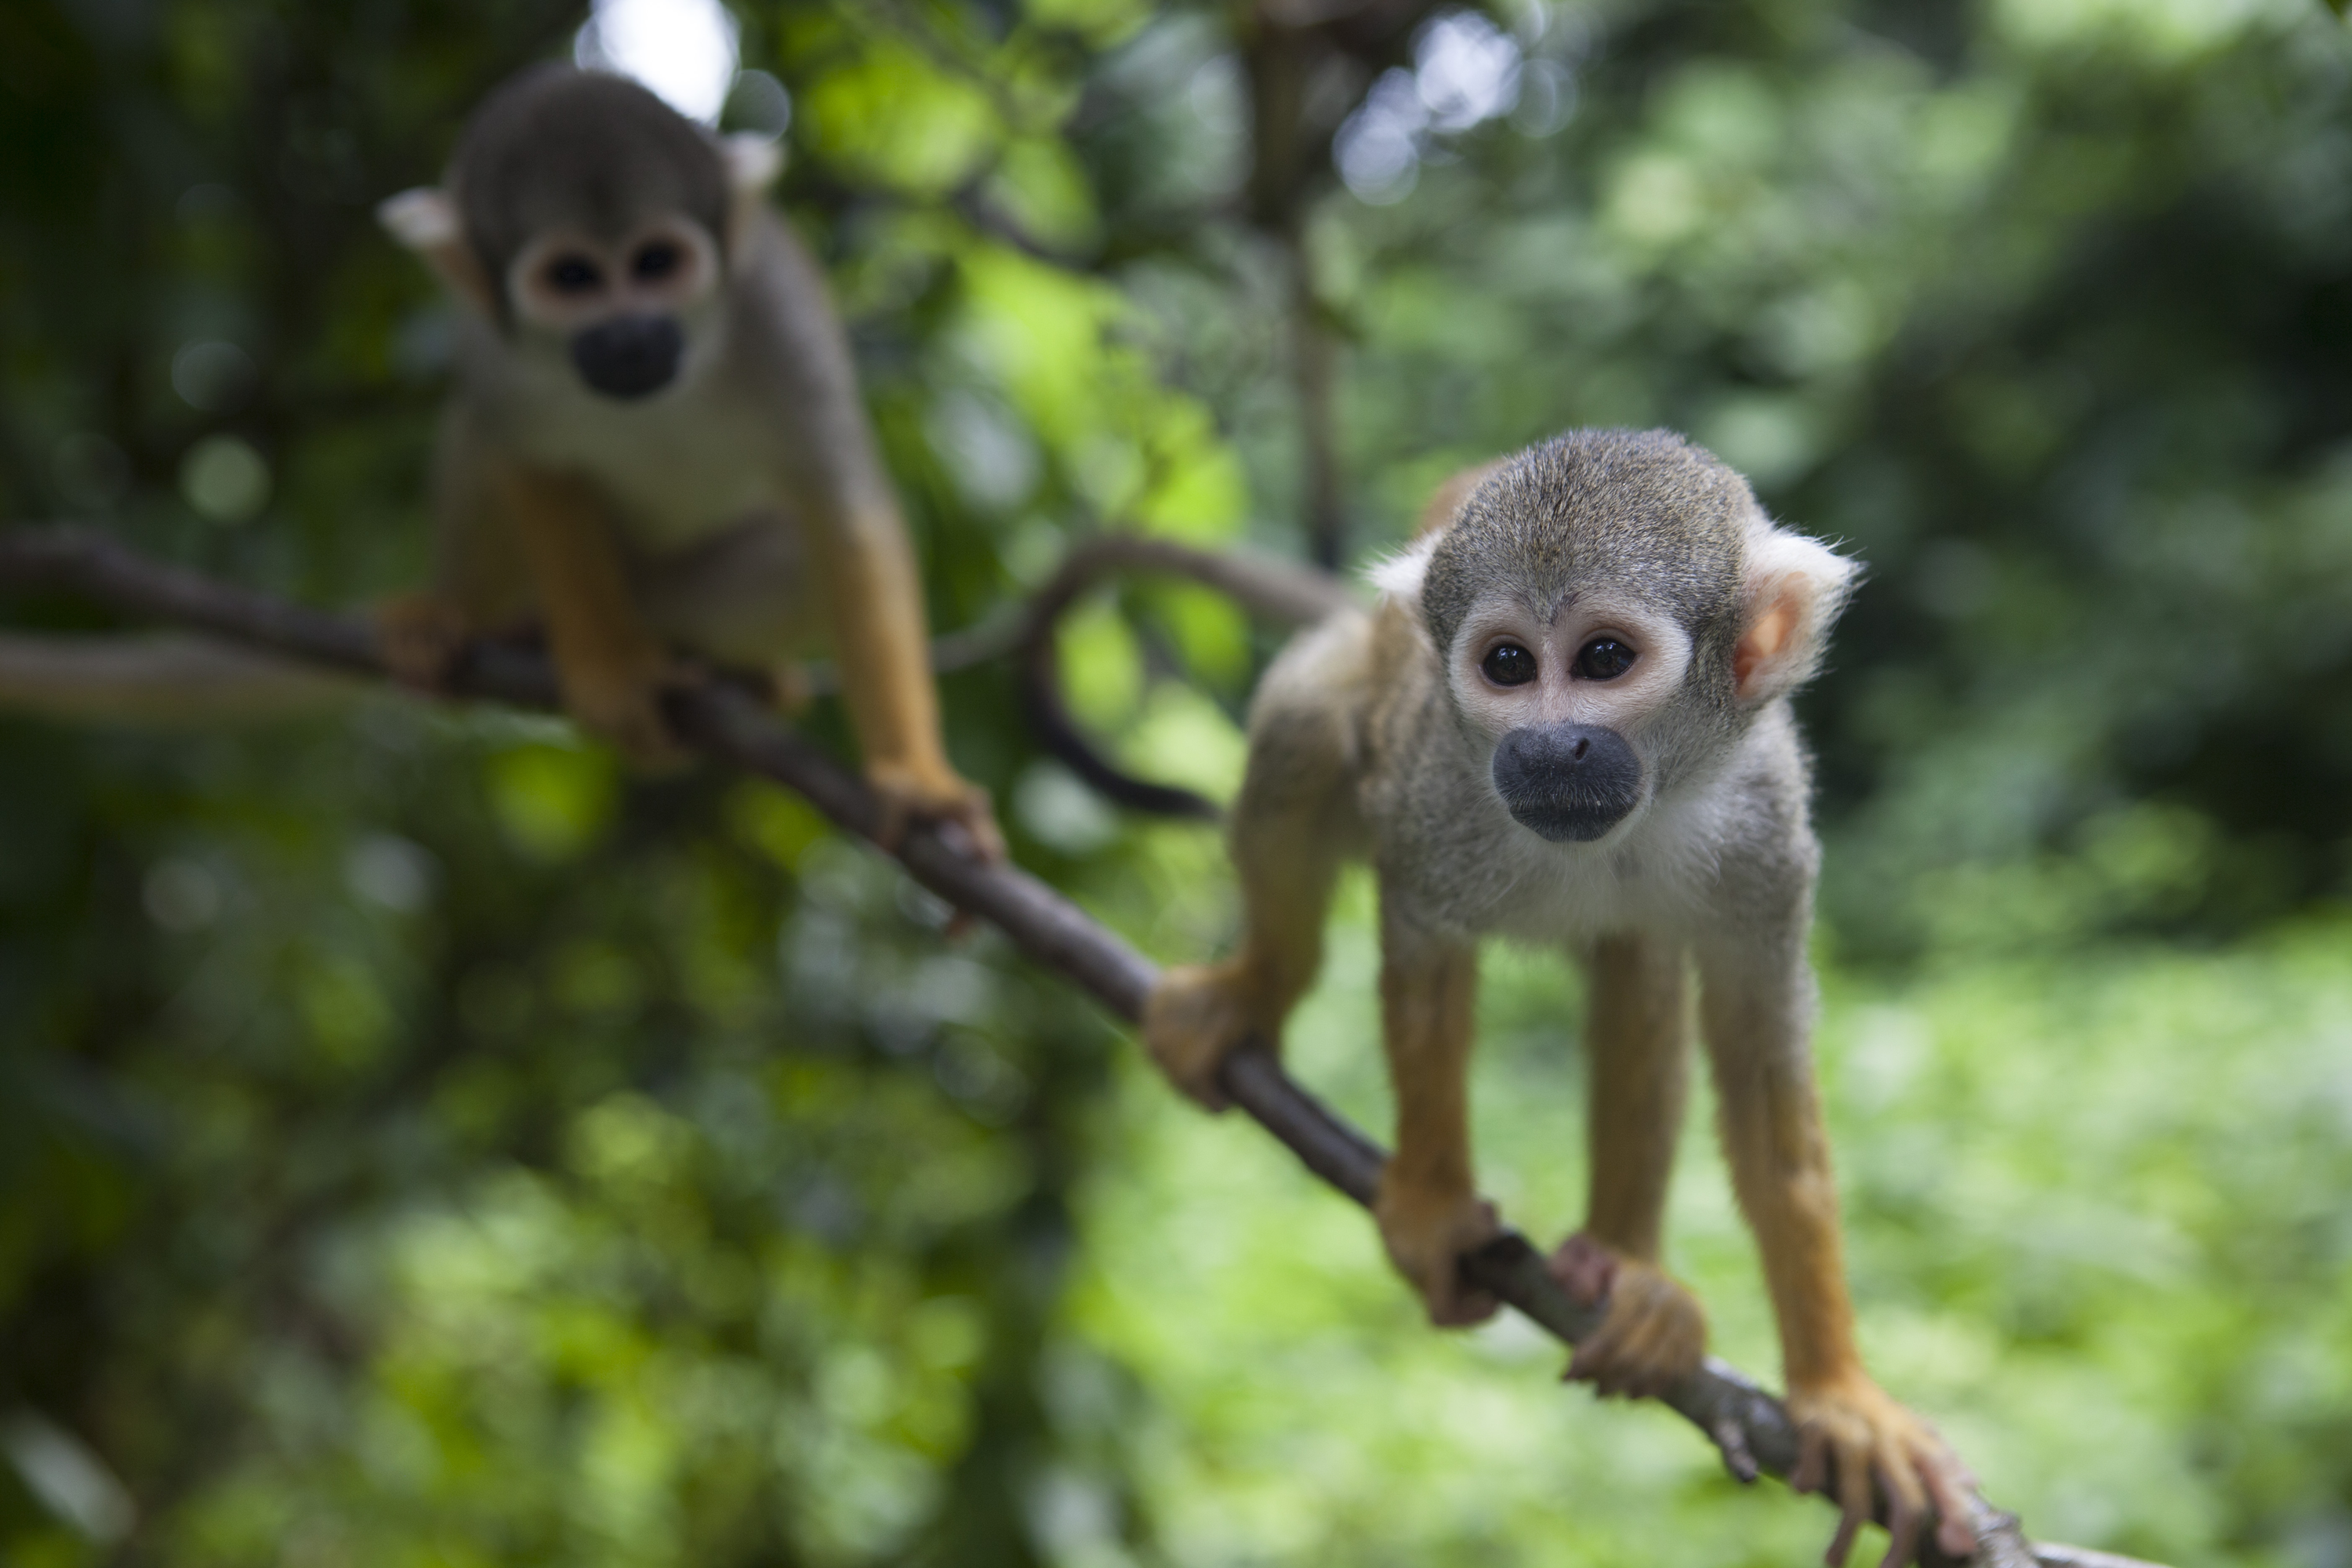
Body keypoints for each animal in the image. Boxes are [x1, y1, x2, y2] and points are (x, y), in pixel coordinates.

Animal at [374, 67, 993, 860]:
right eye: (572, 277)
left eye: (655, 264)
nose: (632, 337)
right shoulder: (490, 347)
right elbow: (533, 463)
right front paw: (610, 669)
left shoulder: (771, 310)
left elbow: (844, 515)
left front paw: (917, 780)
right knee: (476, 433)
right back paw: (475, 620)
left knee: (793, 556)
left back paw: (736, 678)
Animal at [1148, 430, 1976, 1568]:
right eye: (1508, 665)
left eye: (1603, 660)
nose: (1550, 745)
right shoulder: (1435, 793)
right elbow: (1425, 957)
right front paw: (1433, 1206)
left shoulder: (1766, 827)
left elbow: (1766, 1086)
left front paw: (1840, 1395)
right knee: (1312, 709)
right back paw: (1255, 987)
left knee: (1641, 962)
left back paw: (1621, 1266)